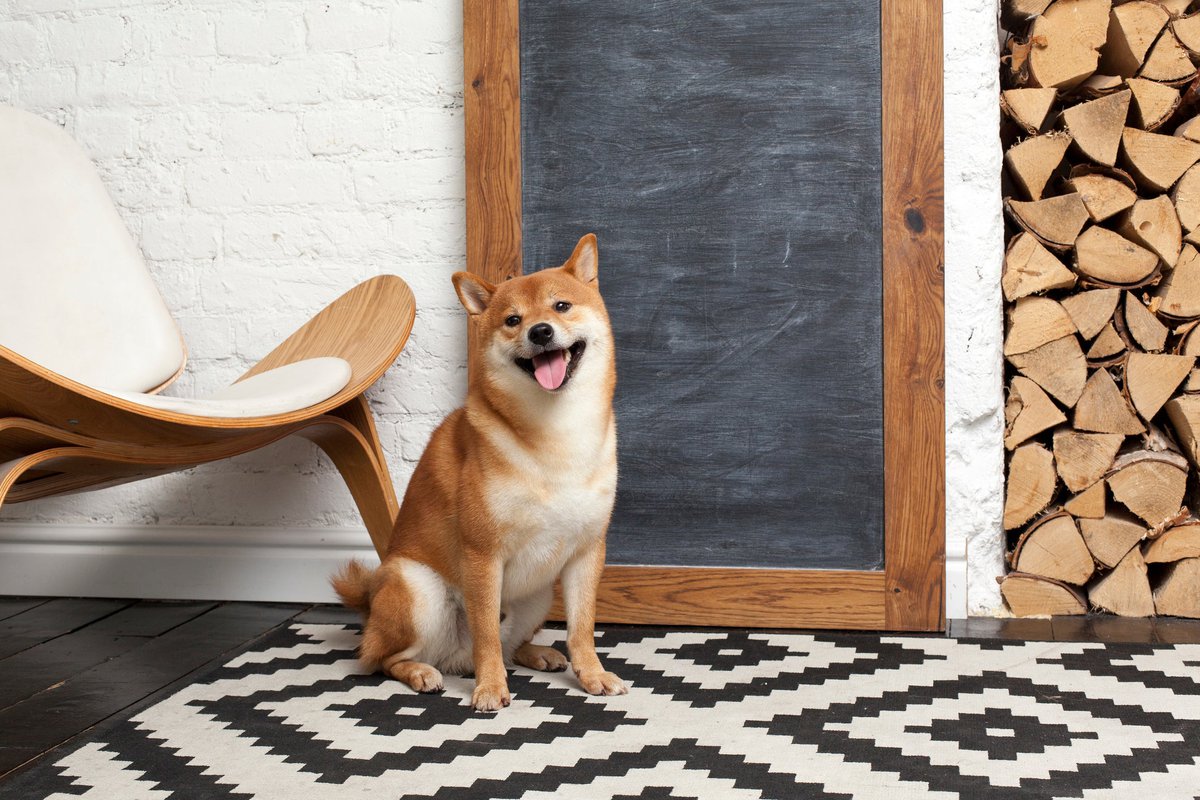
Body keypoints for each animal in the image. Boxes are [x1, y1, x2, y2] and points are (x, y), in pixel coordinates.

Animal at [333, 232, 624, 714]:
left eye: (561, 306)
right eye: (512, 320)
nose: (540, 331)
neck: (556, 435)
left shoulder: (587, 552)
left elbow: (581, 628)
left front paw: (593, 675)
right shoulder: (483, 555)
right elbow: (486, 633)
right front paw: (490, 688)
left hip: (539, 594)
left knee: (510, 644)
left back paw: (536, 652)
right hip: (418, 590)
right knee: (381, 658)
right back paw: (421, 672)